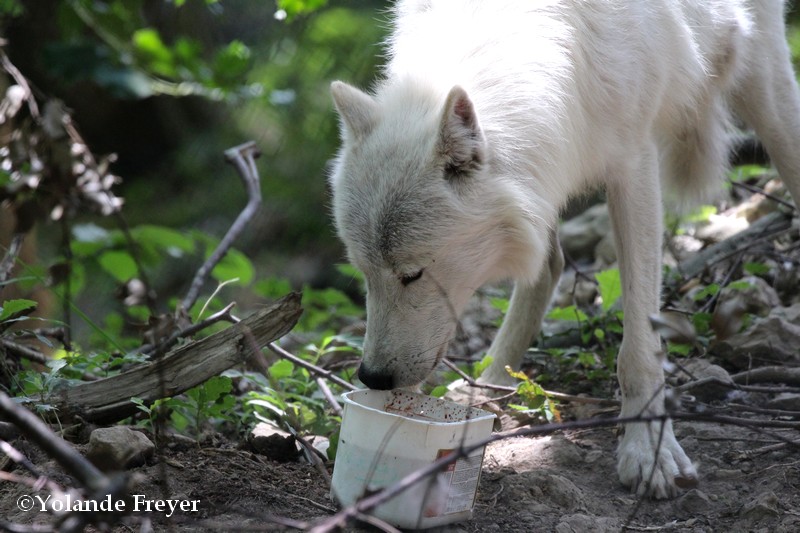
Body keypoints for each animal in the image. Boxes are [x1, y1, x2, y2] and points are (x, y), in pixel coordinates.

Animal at [326, 1, 800, 498]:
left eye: (412, 274)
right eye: (365, 274)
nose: (372, 377)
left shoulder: (634, 160)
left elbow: (639, 346)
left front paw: (649, 451)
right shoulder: (551, 158)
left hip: (766, 81)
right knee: (550, 265)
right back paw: (491, 384)